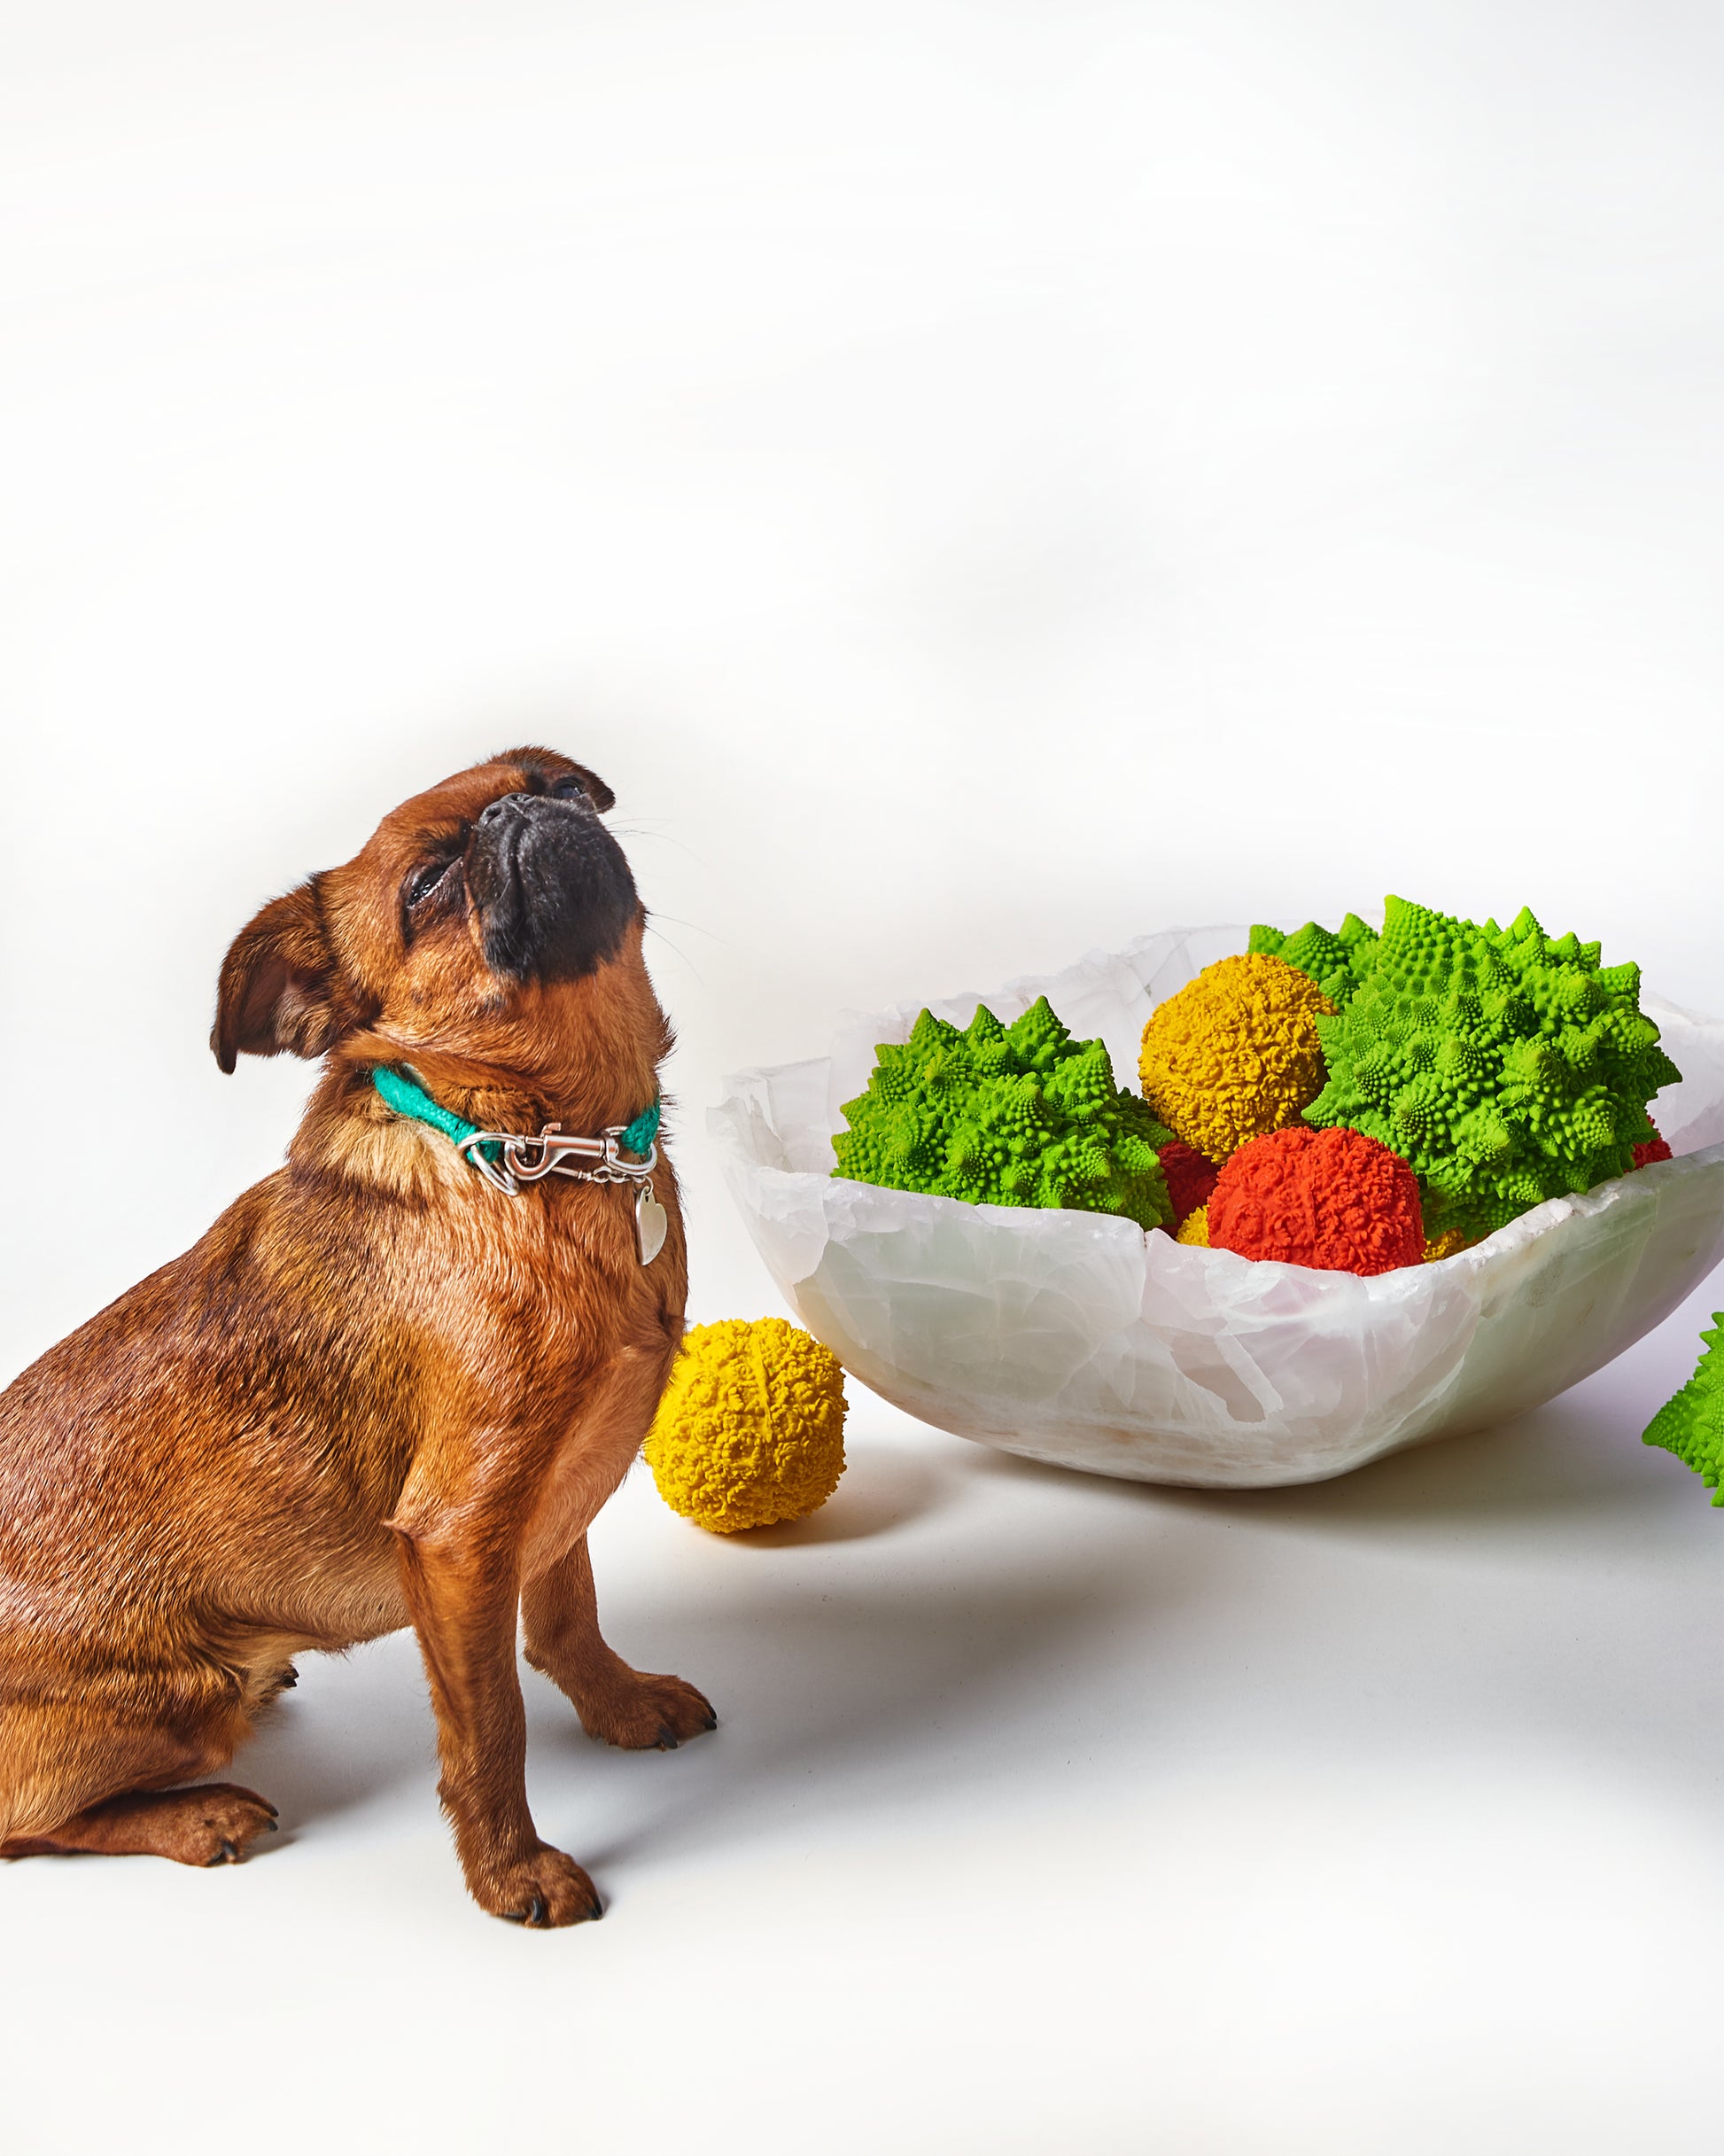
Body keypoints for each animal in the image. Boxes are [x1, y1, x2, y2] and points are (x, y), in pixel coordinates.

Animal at [0, 750, 715, 1931]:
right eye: (424, 887)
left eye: (559, 785)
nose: (518, 810)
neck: (540, 1151)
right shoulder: (460, 1535)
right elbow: (489, 1729)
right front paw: (511, 1873)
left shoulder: (546, 1493)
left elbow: (568, 1614)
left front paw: (618, 1705)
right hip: (183, 1695)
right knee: (26, 1828)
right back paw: (198, 1817)